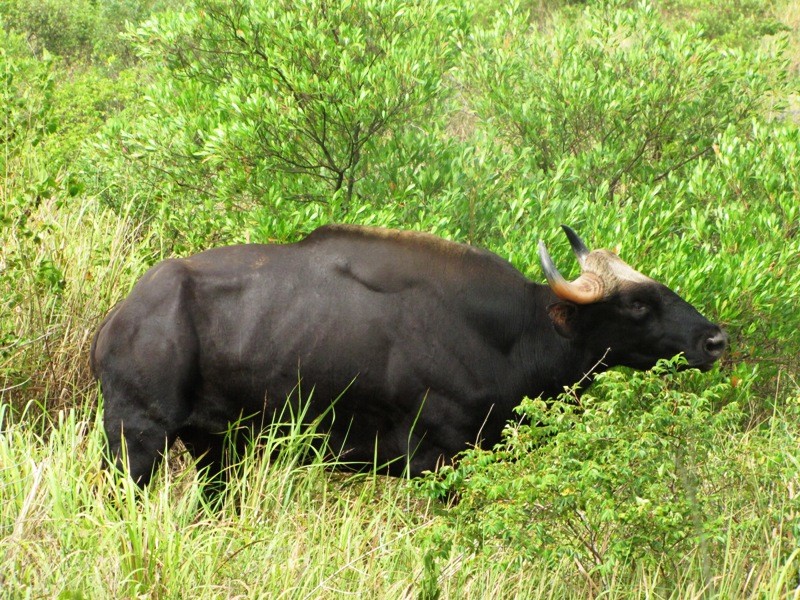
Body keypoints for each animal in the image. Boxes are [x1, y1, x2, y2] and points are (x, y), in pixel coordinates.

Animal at [90, 225, 728, 488]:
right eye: (638, 303)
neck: (505, 335)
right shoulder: (439, 461)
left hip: (213, 448)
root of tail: (118, 321)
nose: (714, 339)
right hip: (135, 441)